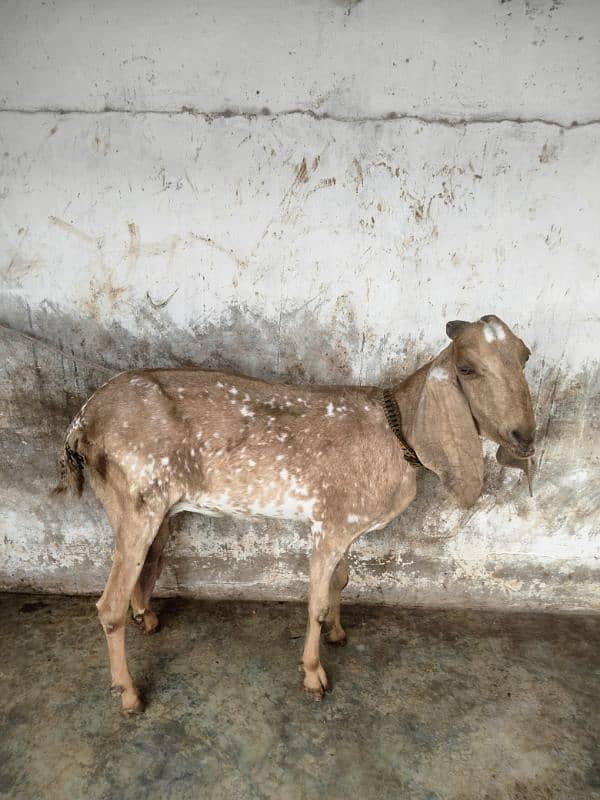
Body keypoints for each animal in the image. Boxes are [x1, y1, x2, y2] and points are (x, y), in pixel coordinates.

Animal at [54, 312, 536, 712]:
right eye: (467, 368)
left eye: (524, 356)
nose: (525, 436)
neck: (395, 432)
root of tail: (82, 420)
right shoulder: (328, 525)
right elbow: (316, 603)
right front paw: (313, 676)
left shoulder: (346, 523)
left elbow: (342, 580)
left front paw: (338, 634)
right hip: (135, 502)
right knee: (109, 605)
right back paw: (129, 694)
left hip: (154, 509)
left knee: (146, 566)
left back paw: (147, 618)